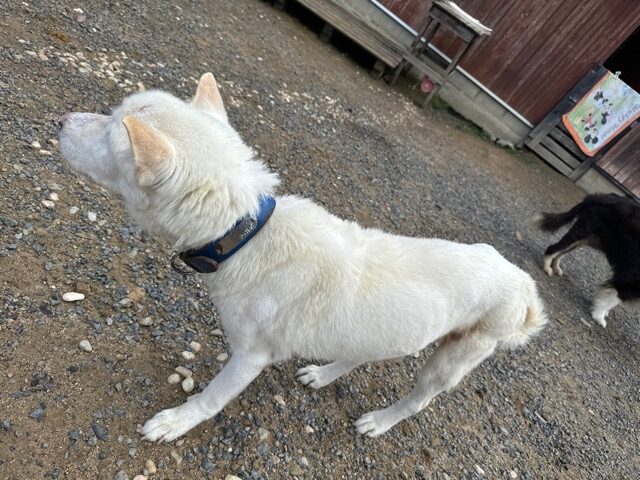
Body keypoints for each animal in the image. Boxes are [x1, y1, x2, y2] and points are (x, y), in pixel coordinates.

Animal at [58, 73, 547, 442]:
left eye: (111, 131)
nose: (61, 119)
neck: (246, 233)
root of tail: (524, 284)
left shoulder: (251, 355)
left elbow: (211, 398)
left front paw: (177, 422)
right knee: (361, 353)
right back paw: (326, 375)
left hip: (456, 359)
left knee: (419, 398)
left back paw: (380, 421)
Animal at [533, 193, 640, 327]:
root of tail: (596, 196)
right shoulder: (629, 282)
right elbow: (611, 300)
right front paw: (598, 316)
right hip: (580, 234)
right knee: (552, 248)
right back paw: (547, 266)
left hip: (584, 240)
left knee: (560, 253)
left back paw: (556, 267)